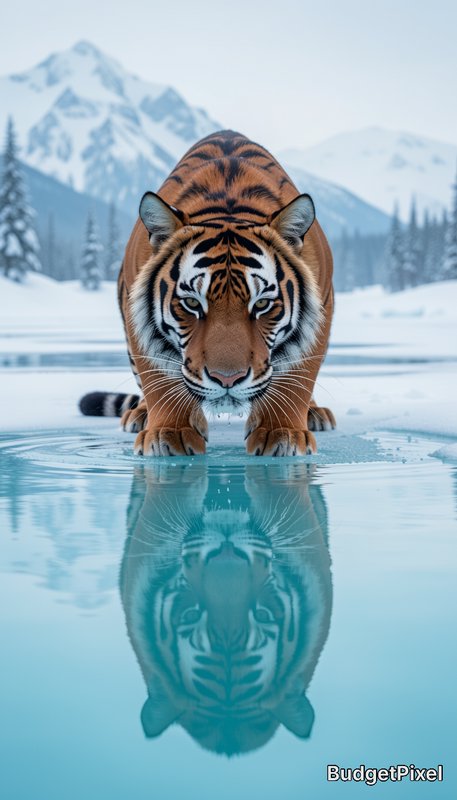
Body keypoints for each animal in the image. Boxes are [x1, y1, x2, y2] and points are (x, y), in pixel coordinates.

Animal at [79, 130, 335, 456]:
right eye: (191, 303)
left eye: (262, 304)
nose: (228, 379)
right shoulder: (135, 315)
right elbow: (157, 376)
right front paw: (170, 433)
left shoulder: (322, 304)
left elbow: (297, 376)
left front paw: (282, 433)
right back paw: (140, 415)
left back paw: (314, 413)